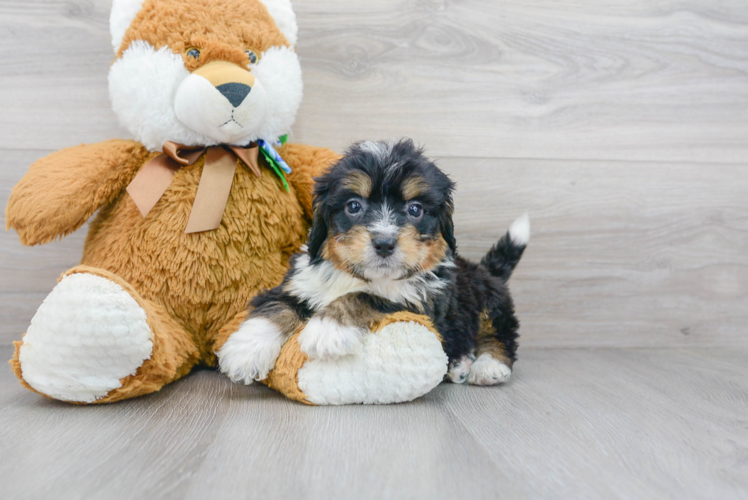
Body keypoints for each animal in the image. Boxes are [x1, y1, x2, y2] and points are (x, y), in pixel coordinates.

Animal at [219, 141, 528, 386]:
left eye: (415, 209)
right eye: (353, 206)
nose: (384, 243)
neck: (358, 275)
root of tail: (485, 271)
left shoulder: (418, 301)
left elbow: (364, 297)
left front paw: (327, 329)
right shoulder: (300, 283)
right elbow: (276, 306)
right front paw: (245, 351)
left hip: (489, 299)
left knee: (500, 333)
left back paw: (488, 366)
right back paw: (459, 365)